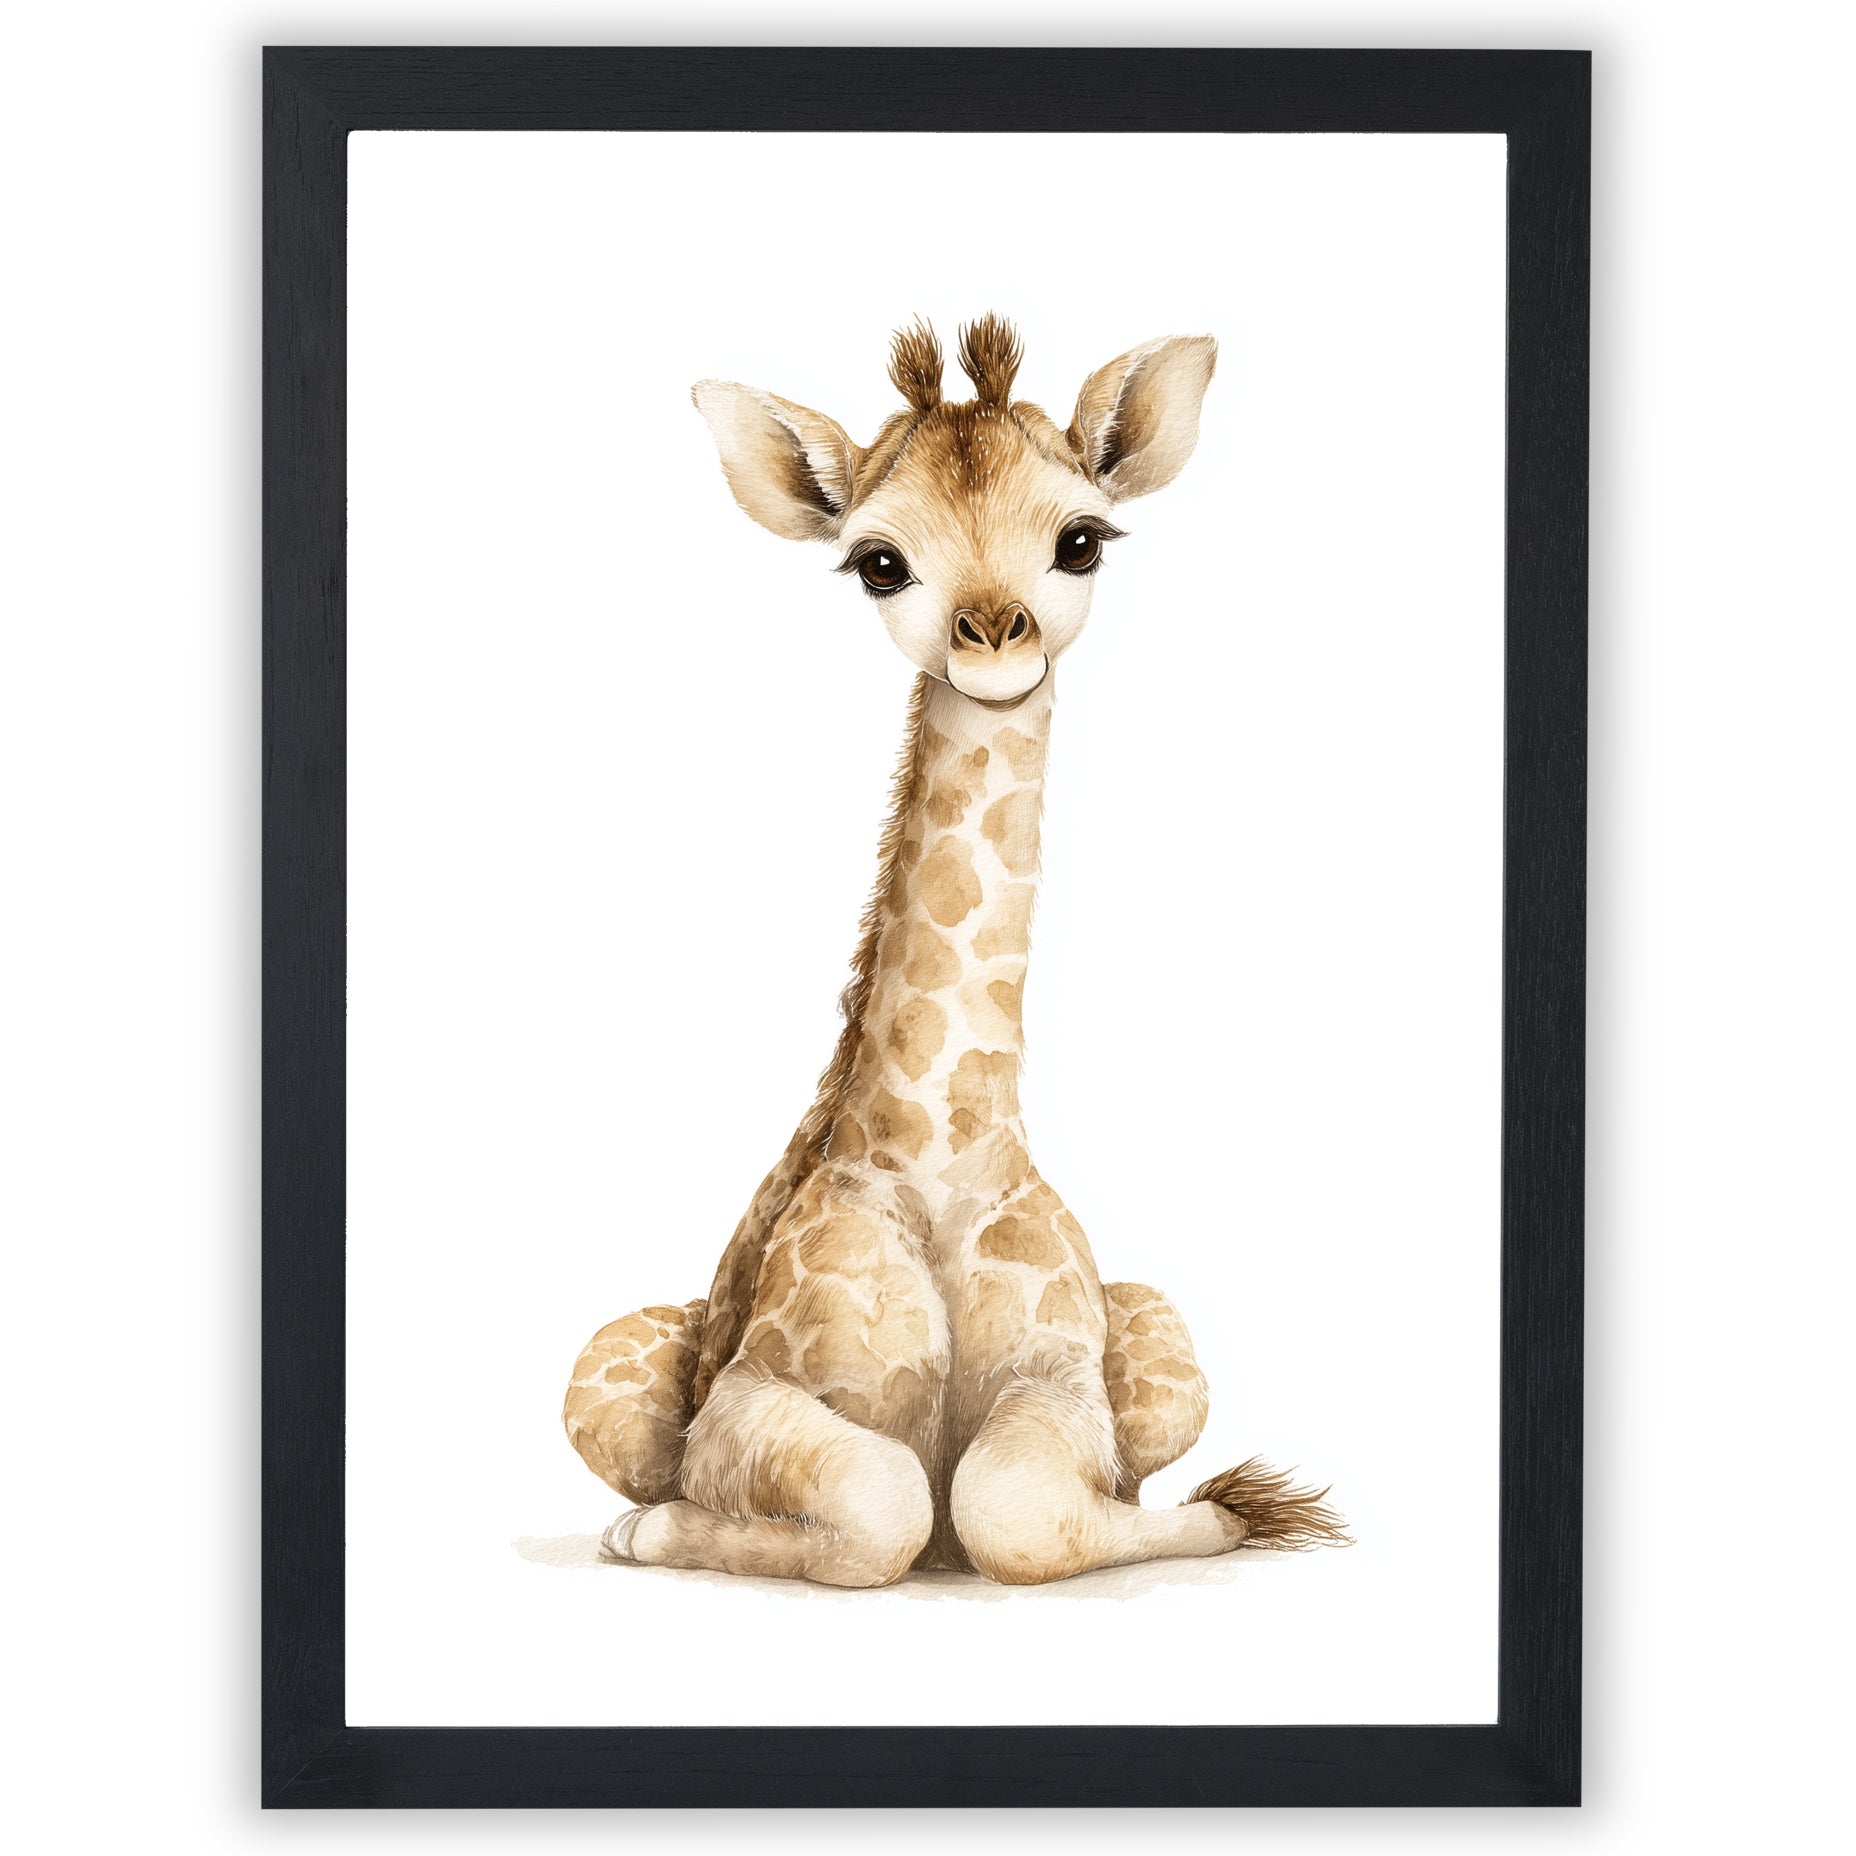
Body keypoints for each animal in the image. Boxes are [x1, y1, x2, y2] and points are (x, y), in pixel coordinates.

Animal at [562, 316, 1347, 1586]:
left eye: (1080, 540)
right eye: (879, 562)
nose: (991, 636)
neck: (939, 1154)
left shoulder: (1063, 1381)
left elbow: (1014, 1503)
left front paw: (1237, 1508)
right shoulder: (748, 1398)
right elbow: (887, 1500)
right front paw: (654, 1527)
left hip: (1162, 1335)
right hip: (603, 1369)